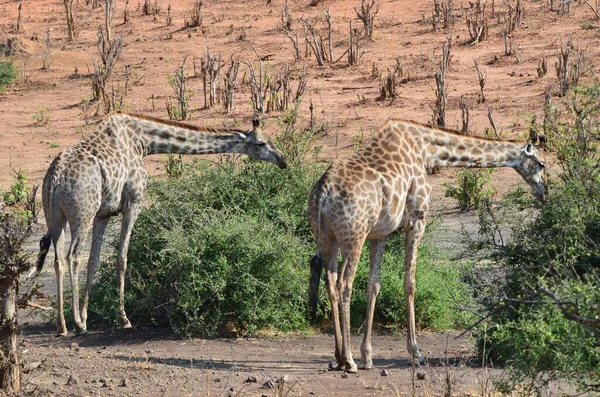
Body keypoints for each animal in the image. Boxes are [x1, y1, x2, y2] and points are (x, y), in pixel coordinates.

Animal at [35, 110, 288, 334]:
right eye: (261, 143)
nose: (283, 160)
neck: (142, 141)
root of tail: (55, 178)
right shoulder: (134, 201)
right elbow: (122, 257)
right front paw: (122, 319)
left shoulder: (103, 213)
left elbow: (94, 261)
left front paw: (87, 316)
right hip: (82, 213)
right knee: (73, 256)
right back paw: (75, 324)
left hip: (55, 216)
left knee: (59, 260)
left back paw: (62, 325)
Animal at [308, 118, 548, 372]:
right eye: (541, 164)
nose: (545, 191)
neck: (426, 150)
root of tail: (323, 192)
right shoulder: (417, 219)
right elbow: (410, 283)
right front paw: (416, 352)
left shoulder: (380, 233)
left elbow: (374, 285)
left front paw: (368, 356)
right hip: (354, 236)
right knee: (344, 284)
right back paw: (348, 360)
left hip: (328, 238)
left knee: (330, 283)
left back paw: (338, 357)